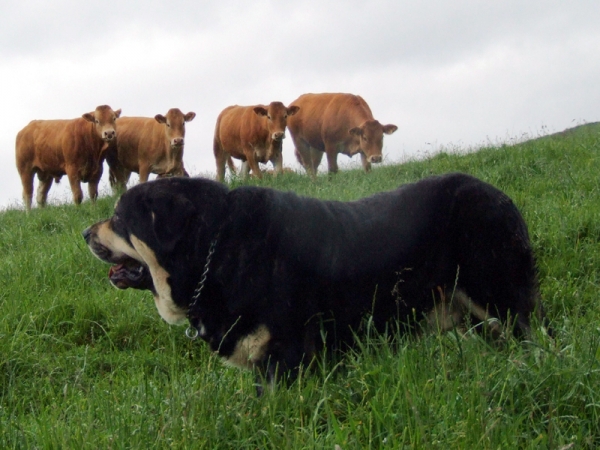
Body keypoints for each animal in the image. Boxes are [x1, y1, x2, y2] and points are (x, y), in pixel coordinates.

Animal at [82, 172, 548, 390]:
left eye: (119, 219)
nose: (85, 233)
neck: (215, 249)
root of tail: (499, 195)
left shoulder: (285, 357)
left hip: (501, 297)